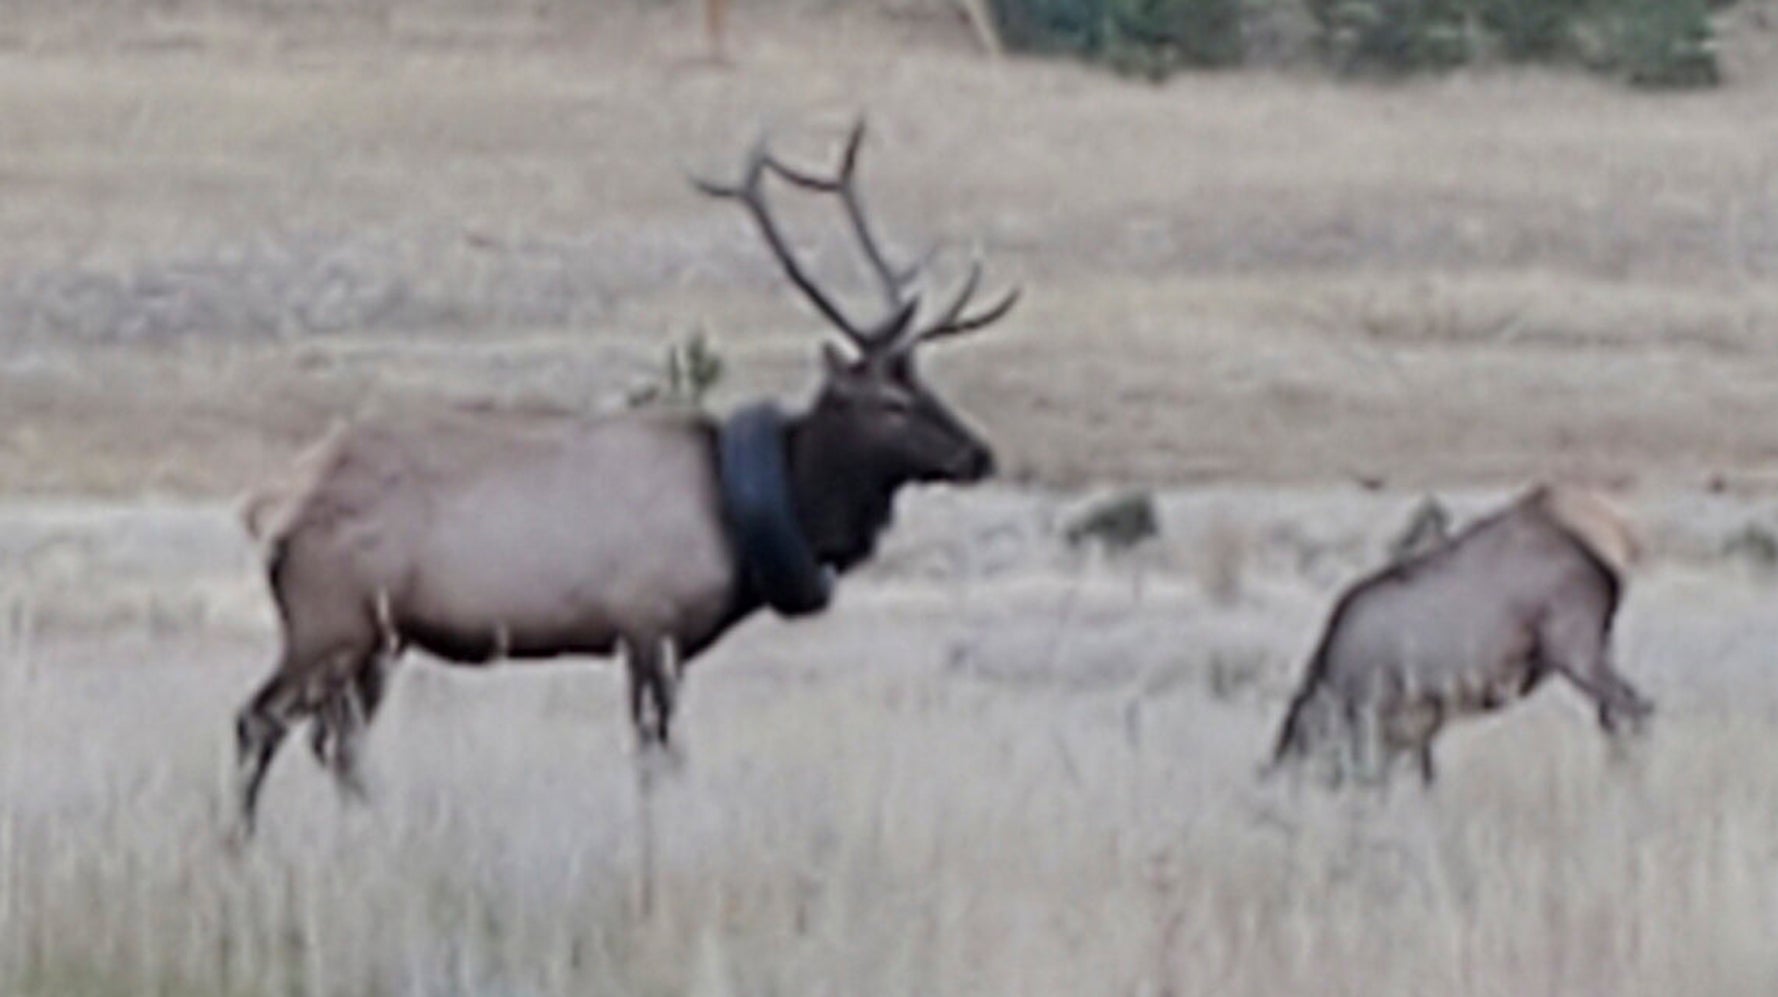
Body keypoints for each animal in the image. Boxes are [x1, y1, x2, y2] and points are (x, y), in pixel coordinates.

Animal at [230, 120, 1019, 835]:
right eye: (890, 403)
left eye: (927, 383)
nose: (980, 454)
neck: (741, 522)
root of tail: (269, 509)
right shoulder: (649, 621)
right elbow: (658, 756)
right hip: (330, 619)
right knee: (257, 721)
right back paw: (239, 847)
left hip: (376, 639)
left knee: (337, 743)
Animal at [1267, 485, 1655, 789]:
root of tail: (1603, 566)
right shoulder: (1416, 730)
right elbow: (1426, 780)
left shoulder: (1386, 722)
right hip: (1598, 648)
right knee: (1620, 716)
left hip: (1576, 653)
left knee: (1636, 709)